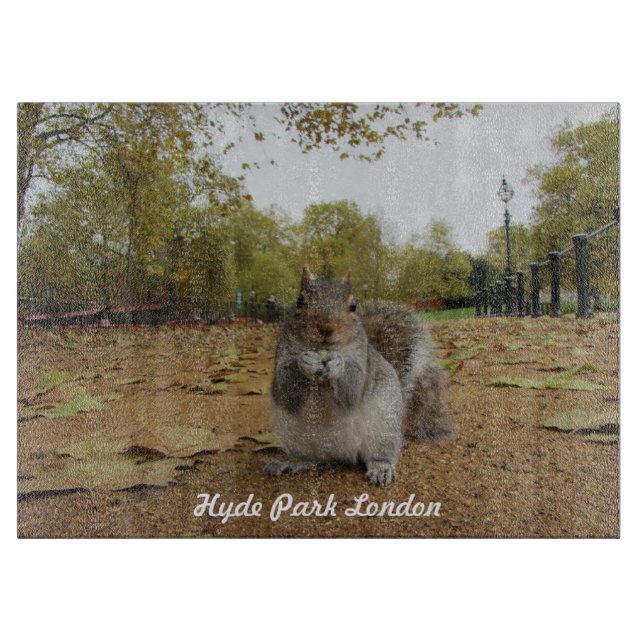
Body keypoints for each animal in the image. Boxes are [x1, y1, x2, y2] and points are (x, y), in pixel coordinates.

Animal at [267, 266, 451, 485]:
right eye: (300, 301)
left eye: (353, 305)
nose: (325, 328)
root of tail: (340, 453)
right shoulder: (282, 355)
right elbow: (286, 391)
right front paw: (305, 362)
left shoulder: (363, 362)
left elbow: (353, 392)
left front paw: (338, 364)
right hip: (296, 437)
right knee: (315, 459)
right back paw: (292, 462)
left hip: (382, 428)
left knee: (376, 453)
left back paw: (381, 467)